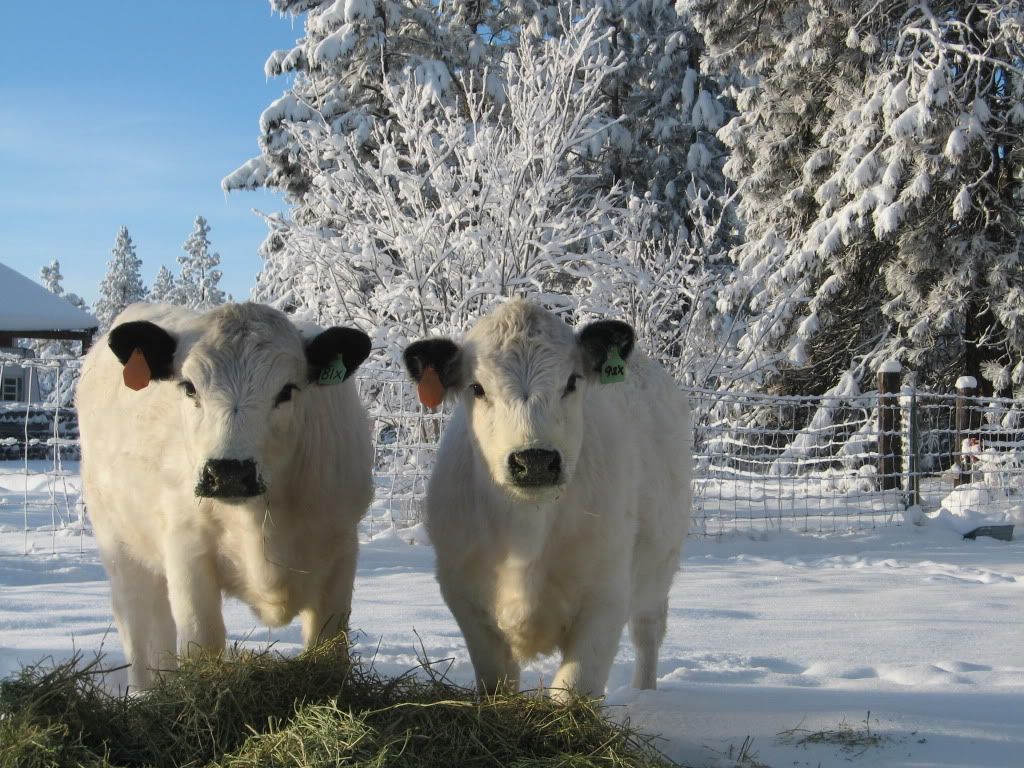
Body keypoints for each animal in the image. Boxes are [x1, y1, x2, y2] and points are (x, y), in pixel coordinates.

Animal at [76, 302, 374, 689]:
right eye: (189, 387)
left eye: (287, 390)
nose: (229, 472)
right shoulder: (186, 549)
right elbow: (202, 644)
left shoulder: (341, 549)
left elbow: (329, 650)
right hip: (121, 547)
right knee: (140, 628)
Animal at [403, 299, 691, 700]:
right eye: (477, 387)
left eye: (571, 381)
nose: (535, 459)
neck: (527, 531)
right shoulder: (466, 599)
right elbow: (497, 682)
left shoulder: (606, 597)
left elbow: (574, 692)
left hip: (659, 566)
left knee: (648, 632)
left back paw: (644, 694)